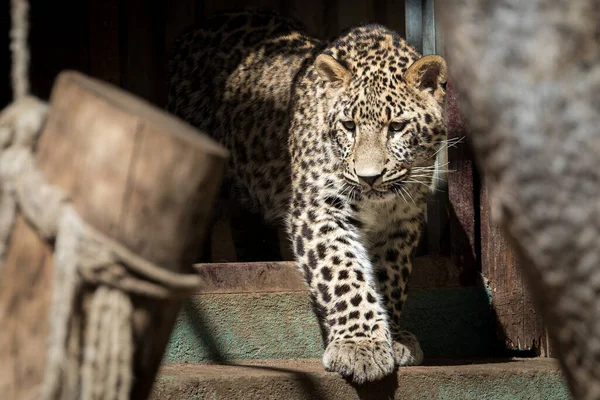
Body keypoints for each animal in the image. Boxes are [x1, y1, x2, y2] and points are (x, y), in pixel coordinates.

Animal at [166, 10, 448, 384]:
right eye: (348, 126)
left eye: (397, 127)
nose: (369, 178)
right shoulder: (320, 211)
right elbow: (345, 273)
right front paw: (360, 345)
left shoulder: (403, 219)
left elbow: (392, 277)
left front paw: (394, 336)